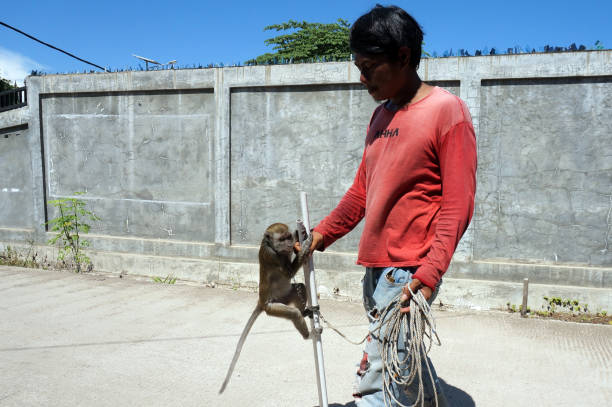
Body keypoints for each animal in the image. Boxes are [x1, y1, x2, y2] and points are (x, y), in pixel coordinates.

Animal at [219, 223, 314, 396]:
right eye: (281, 239)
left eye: (288, 237)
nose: (289, 243)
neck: (274, 248)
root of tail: (261, 302)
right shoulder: (272, 256)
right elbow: (289, 272)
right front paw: (305, 244)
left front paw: (299, 234)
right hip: (272, 307)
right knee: (293, 313)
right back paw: (308, 335)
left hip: (283, 298)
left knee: (300, 287)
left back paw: (304, 312)